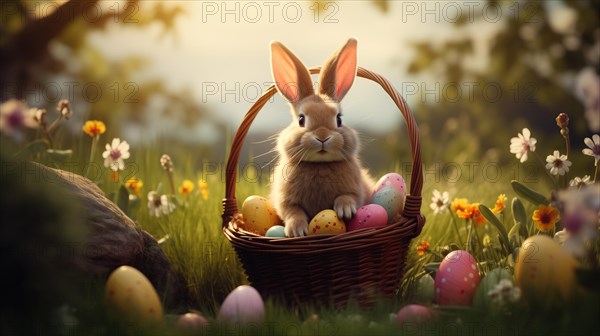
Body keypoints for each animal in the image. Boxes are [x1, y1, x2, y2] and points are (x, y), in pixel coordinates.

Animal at [270, 38, 372, 236]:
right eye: (301, 120)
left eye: (339, 119)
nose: (323, 137)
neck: (319, 164)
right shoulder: (286, 201)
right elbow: (293, 212)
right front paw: (296, 231)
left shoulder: (357, 192)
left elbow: (348, 197)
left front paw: (345, 211)